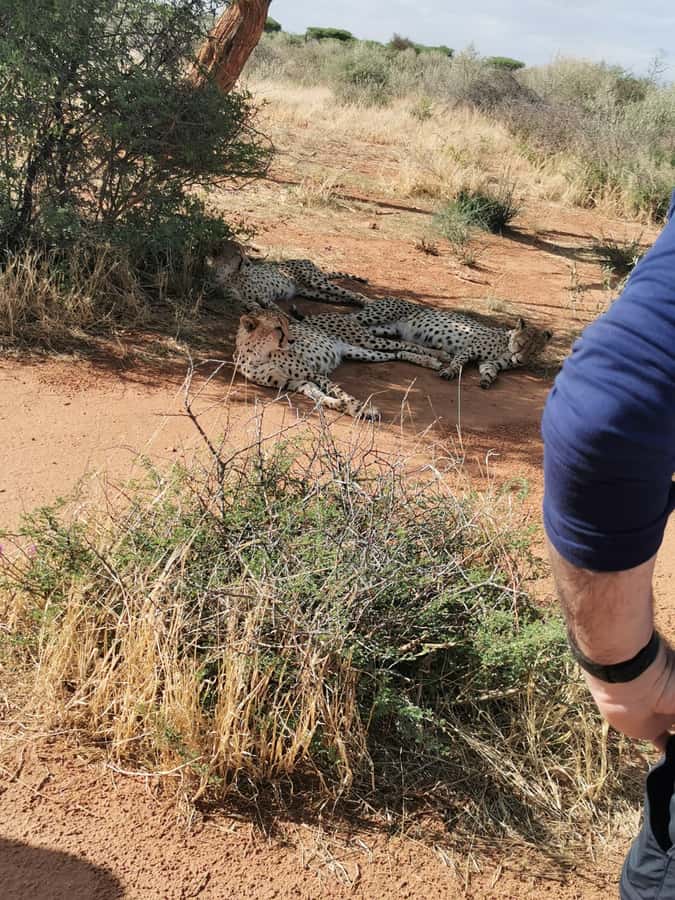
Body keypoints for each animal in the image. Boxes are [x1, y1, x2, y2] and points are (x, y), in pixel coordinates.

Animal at [211, 241, 369, 314]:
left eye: (244, 252)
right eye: (238, 254)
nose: (249, 263)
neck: (228, 273)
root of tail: (306, 260)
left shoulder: (262, 296)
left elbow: (275, 309)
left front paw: (287, 318)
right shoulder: (240, 300)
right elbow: (254, 307)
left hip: (315, 281)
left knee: (352, 293)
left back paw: (369, 303)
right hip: (313, 292)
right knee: (347, 296)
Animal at [234, 309, 448, 420]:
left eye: (287, 325)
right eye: (278, 328)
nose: (293, 340)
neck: (260, 354)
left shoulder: (313, 373)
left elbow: (339, 391)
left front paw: (360, 408)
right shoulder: (294, 382)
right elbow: (319, 396)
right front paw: (341, 406)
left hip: (365, 340)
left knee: (405, 344)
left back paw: (439, 355)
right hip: (359, 352)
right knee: (397, 354)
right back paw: (430, 360)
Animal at [353, 296, 553, 388]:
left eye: (534, 352)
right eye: (522, 344)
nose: (520, 361)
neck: (507, 347)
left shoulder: (487, 363)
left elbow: (491, 373)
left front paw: (486, 381)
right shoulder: (469, 349)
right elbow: (458, 363)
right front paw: (449, 372)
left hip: (385, 328)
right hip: (376, 316)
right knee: (349, 318)